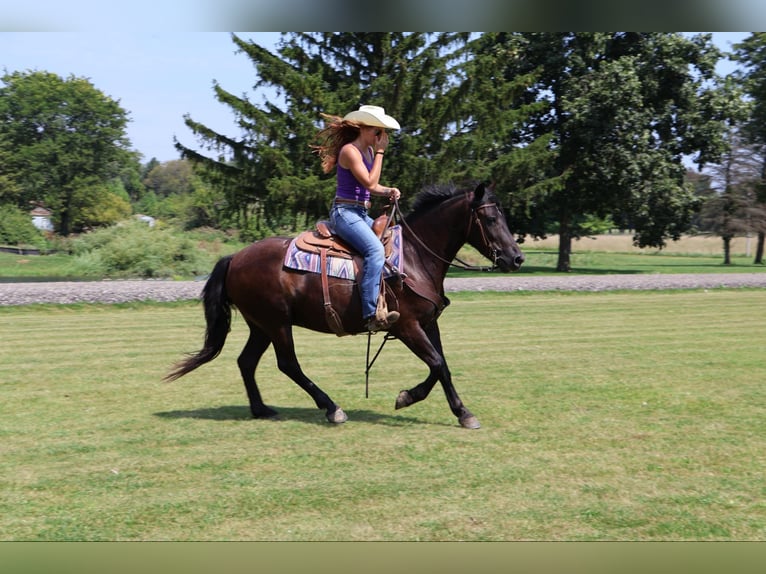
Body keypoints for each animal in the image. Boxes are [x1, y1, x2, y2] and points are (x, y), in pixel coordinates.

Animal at [165, 182, 524, 429]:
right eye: (490, 218)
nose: (516, 258)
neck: (414, 257)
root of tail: (235, 257)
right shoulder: (406, 325)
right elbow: (436, 363)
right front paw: (423, 402)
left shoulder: (428, 322)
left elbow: (442, 366)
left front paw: (450, 408)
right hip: (277, 323)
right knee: (288, 364)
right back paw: (331, 408)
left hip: (261, 325)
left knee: (246, 361)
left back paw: (261, 409)